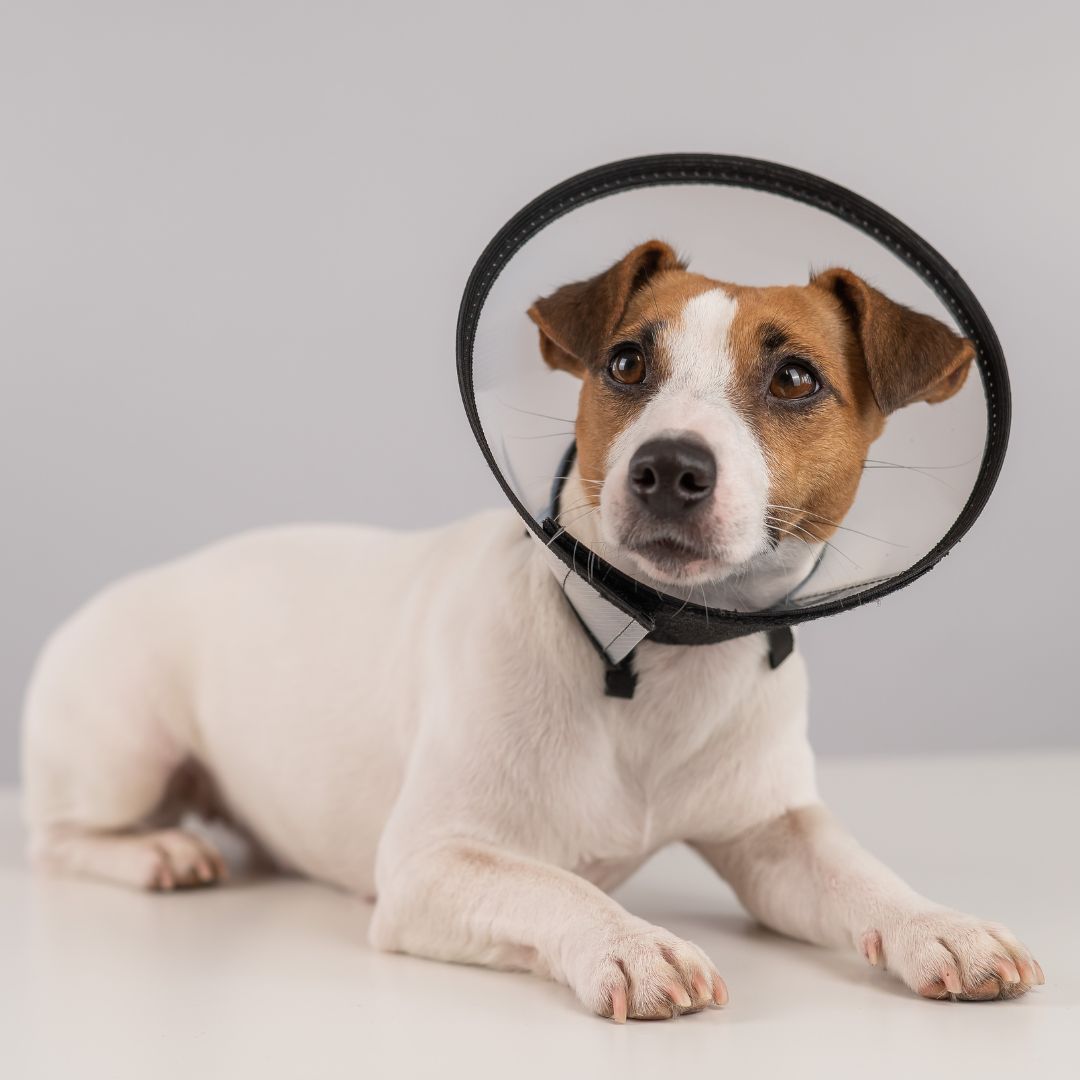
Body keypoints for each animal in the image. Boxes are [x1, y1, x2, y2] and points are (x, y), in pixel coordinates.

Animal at [19, 243, 1045, 1019]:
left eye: (796, 378)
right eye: (626, 362)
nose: (668, 468)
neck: (646, 649)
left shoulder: (772, 832)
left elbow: (861, 873)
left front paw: (939, 925)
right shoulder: (430, 866)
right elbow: (556, 883)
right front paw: (630, 943)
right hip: (124, 750)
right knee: (56, 836)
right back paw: (155, 851)